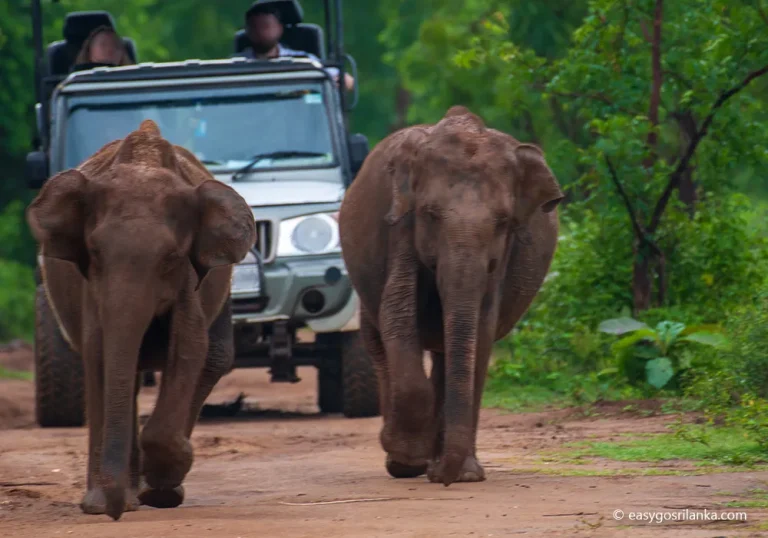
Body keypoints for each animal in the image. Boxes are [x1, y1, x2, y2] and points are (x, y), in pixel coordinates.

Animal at [26, 120, 256, 520]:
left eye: (171, 257)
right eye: (95, 252)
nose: (116, 512)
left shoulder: (188, 279)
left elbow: (189, 348)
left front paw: (162, 485)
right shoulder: (92, 286)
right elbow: (99, 350)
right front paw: (99, 505)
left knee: (213, 358)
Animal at [338, 106, 564, 486]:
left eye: (503, 222)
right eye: (430, 214)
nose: (442, 478)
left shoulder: (503, 255)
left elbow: (482, 328)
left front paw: (463, 475)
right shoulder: (402, 226)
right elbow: (398, 311)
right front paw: (407, 458)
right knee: (376, 336)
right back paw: (405, 460)